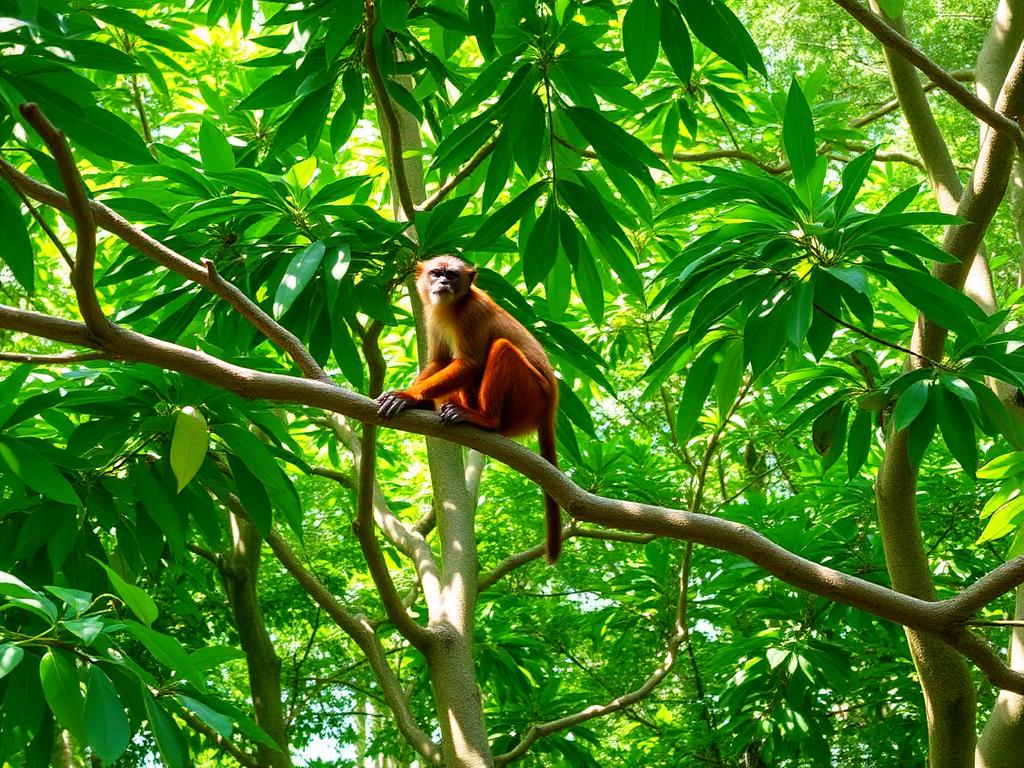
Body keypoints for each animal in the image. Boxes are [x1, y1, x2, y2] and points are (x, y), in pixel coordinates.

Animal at [377, 255, 563, 563]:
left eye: (451, 275)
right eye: (436, 273)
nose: (442, 282)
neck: (452, 307)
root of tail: (550, 406)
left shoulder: (471, 313)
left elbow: (470, 363)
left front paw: (408, 396)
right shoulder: (431, 316)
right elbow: (439, 362)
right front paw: (415, 399)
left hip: (530, 398)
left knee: (500, 348)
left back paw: (485, 419)